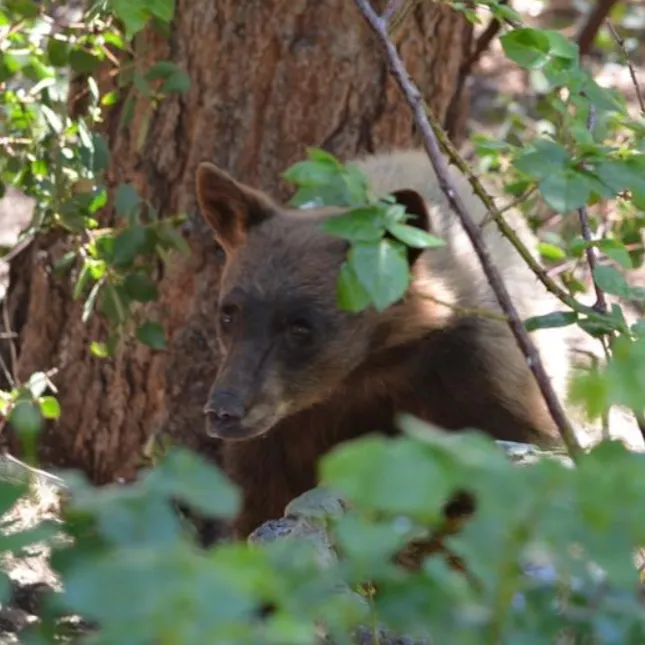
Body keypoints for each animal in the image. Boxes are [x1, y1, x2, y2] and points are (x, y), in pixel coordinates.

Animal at [194, 148, 576, 539]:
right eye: (229, 313)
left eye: (300, 327)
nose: (223, 411)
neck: (367, 370)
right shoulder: (278, 438)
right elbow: (260, 505)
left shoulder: (486, 378)